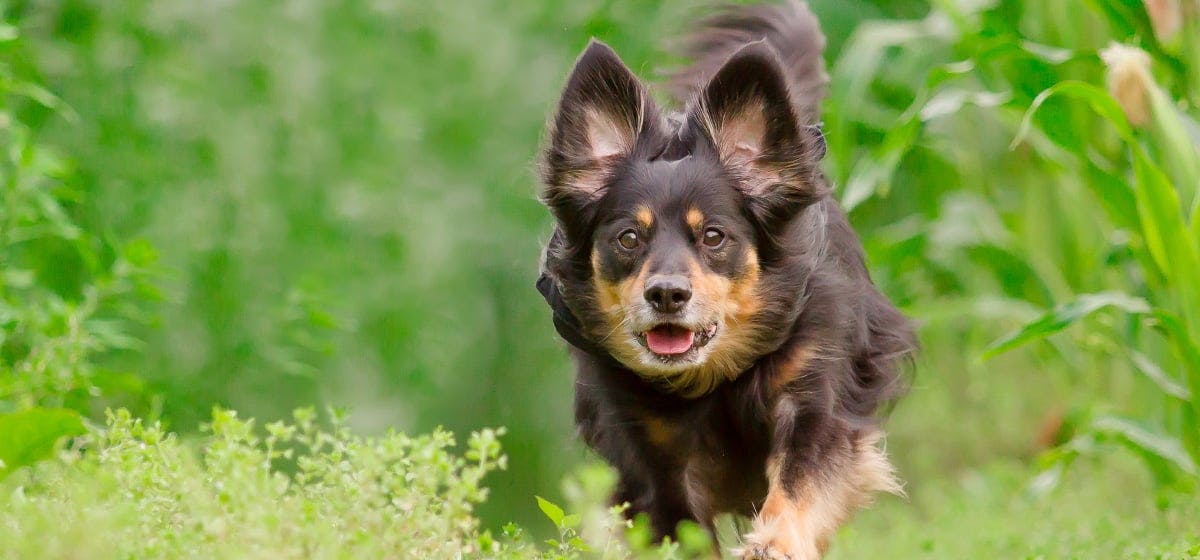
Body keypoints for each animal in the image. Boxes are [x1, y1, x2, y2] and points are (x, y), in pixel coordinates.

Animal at [535, 2, 907, 558]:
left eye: (713, 235)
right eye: (628, 238)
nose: (667, 294)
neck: (713, 375)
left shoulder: (815, 396)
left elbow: (801, 479)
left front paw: (775, 542)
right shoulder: (650, 457)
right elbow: (680, 522)